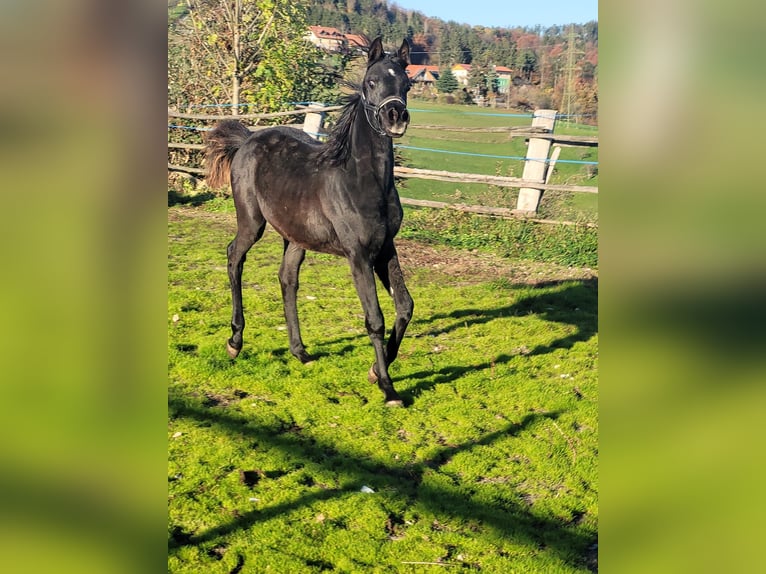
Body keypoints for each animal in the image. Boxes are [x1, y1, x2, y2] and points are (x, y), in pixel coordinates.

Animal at [206, 38, 414, 408]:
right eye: (371, 82)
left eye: (406, 84)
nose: (395, 117)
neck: (362, 181)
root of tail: (246, 140)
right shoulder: (359, 255)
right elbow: (375, 319)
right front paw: (388, 389)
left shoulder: (385, 248)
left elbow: (404, 307)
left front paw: (375, 372)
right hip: (251, 222)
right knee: (234, 257)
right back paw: (235, 342)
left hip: (295, 237)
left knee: (287, 278)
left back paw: (300, 351)